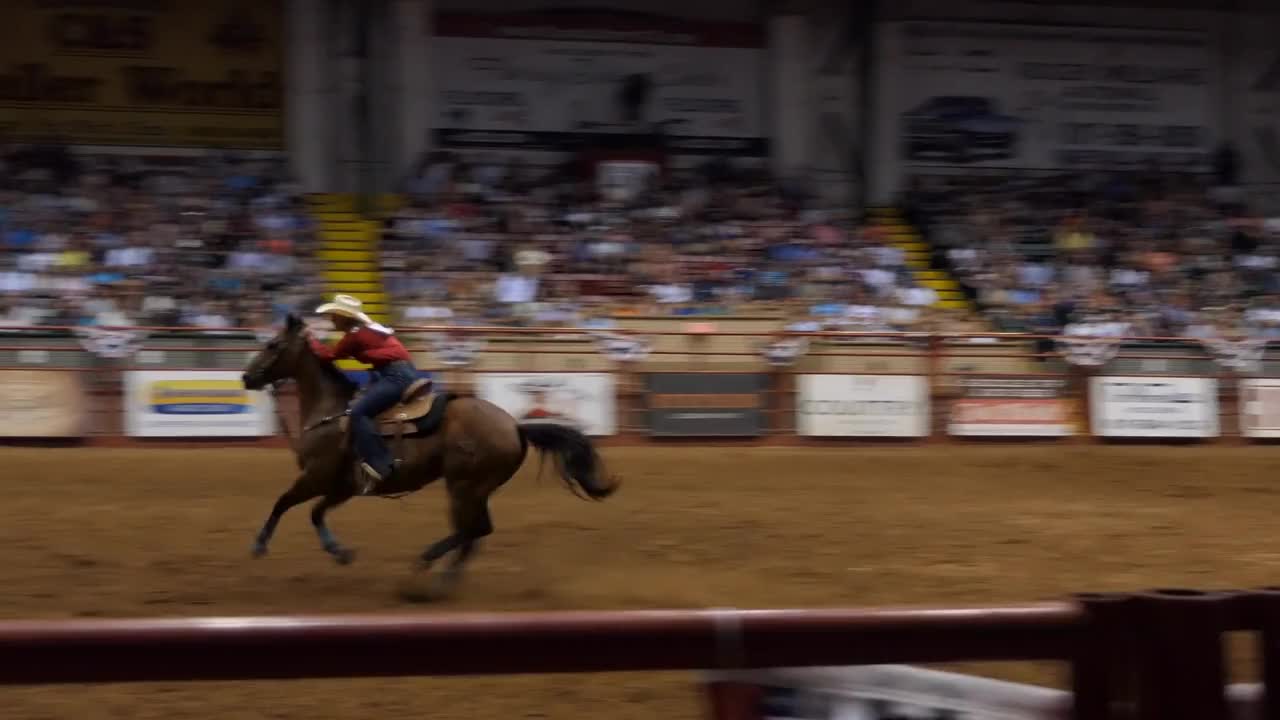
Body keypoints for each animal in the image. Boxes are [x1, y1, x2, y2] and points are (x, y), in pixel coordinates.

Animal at [243, 313, 619, 594]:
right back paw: (442, 579)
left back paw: (426, 566)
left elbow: (283, 503)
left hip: (464, 485)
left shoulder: (316, 477)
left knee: (475, 529)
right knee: (474, 533)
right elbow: (315, 514)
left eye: (273, 344)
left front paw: (259, 546)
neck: (331, 412)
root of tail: (515, 426)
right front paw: (340, 553)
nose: (247, 377)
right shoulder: (341, 487)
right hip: (476, 489)